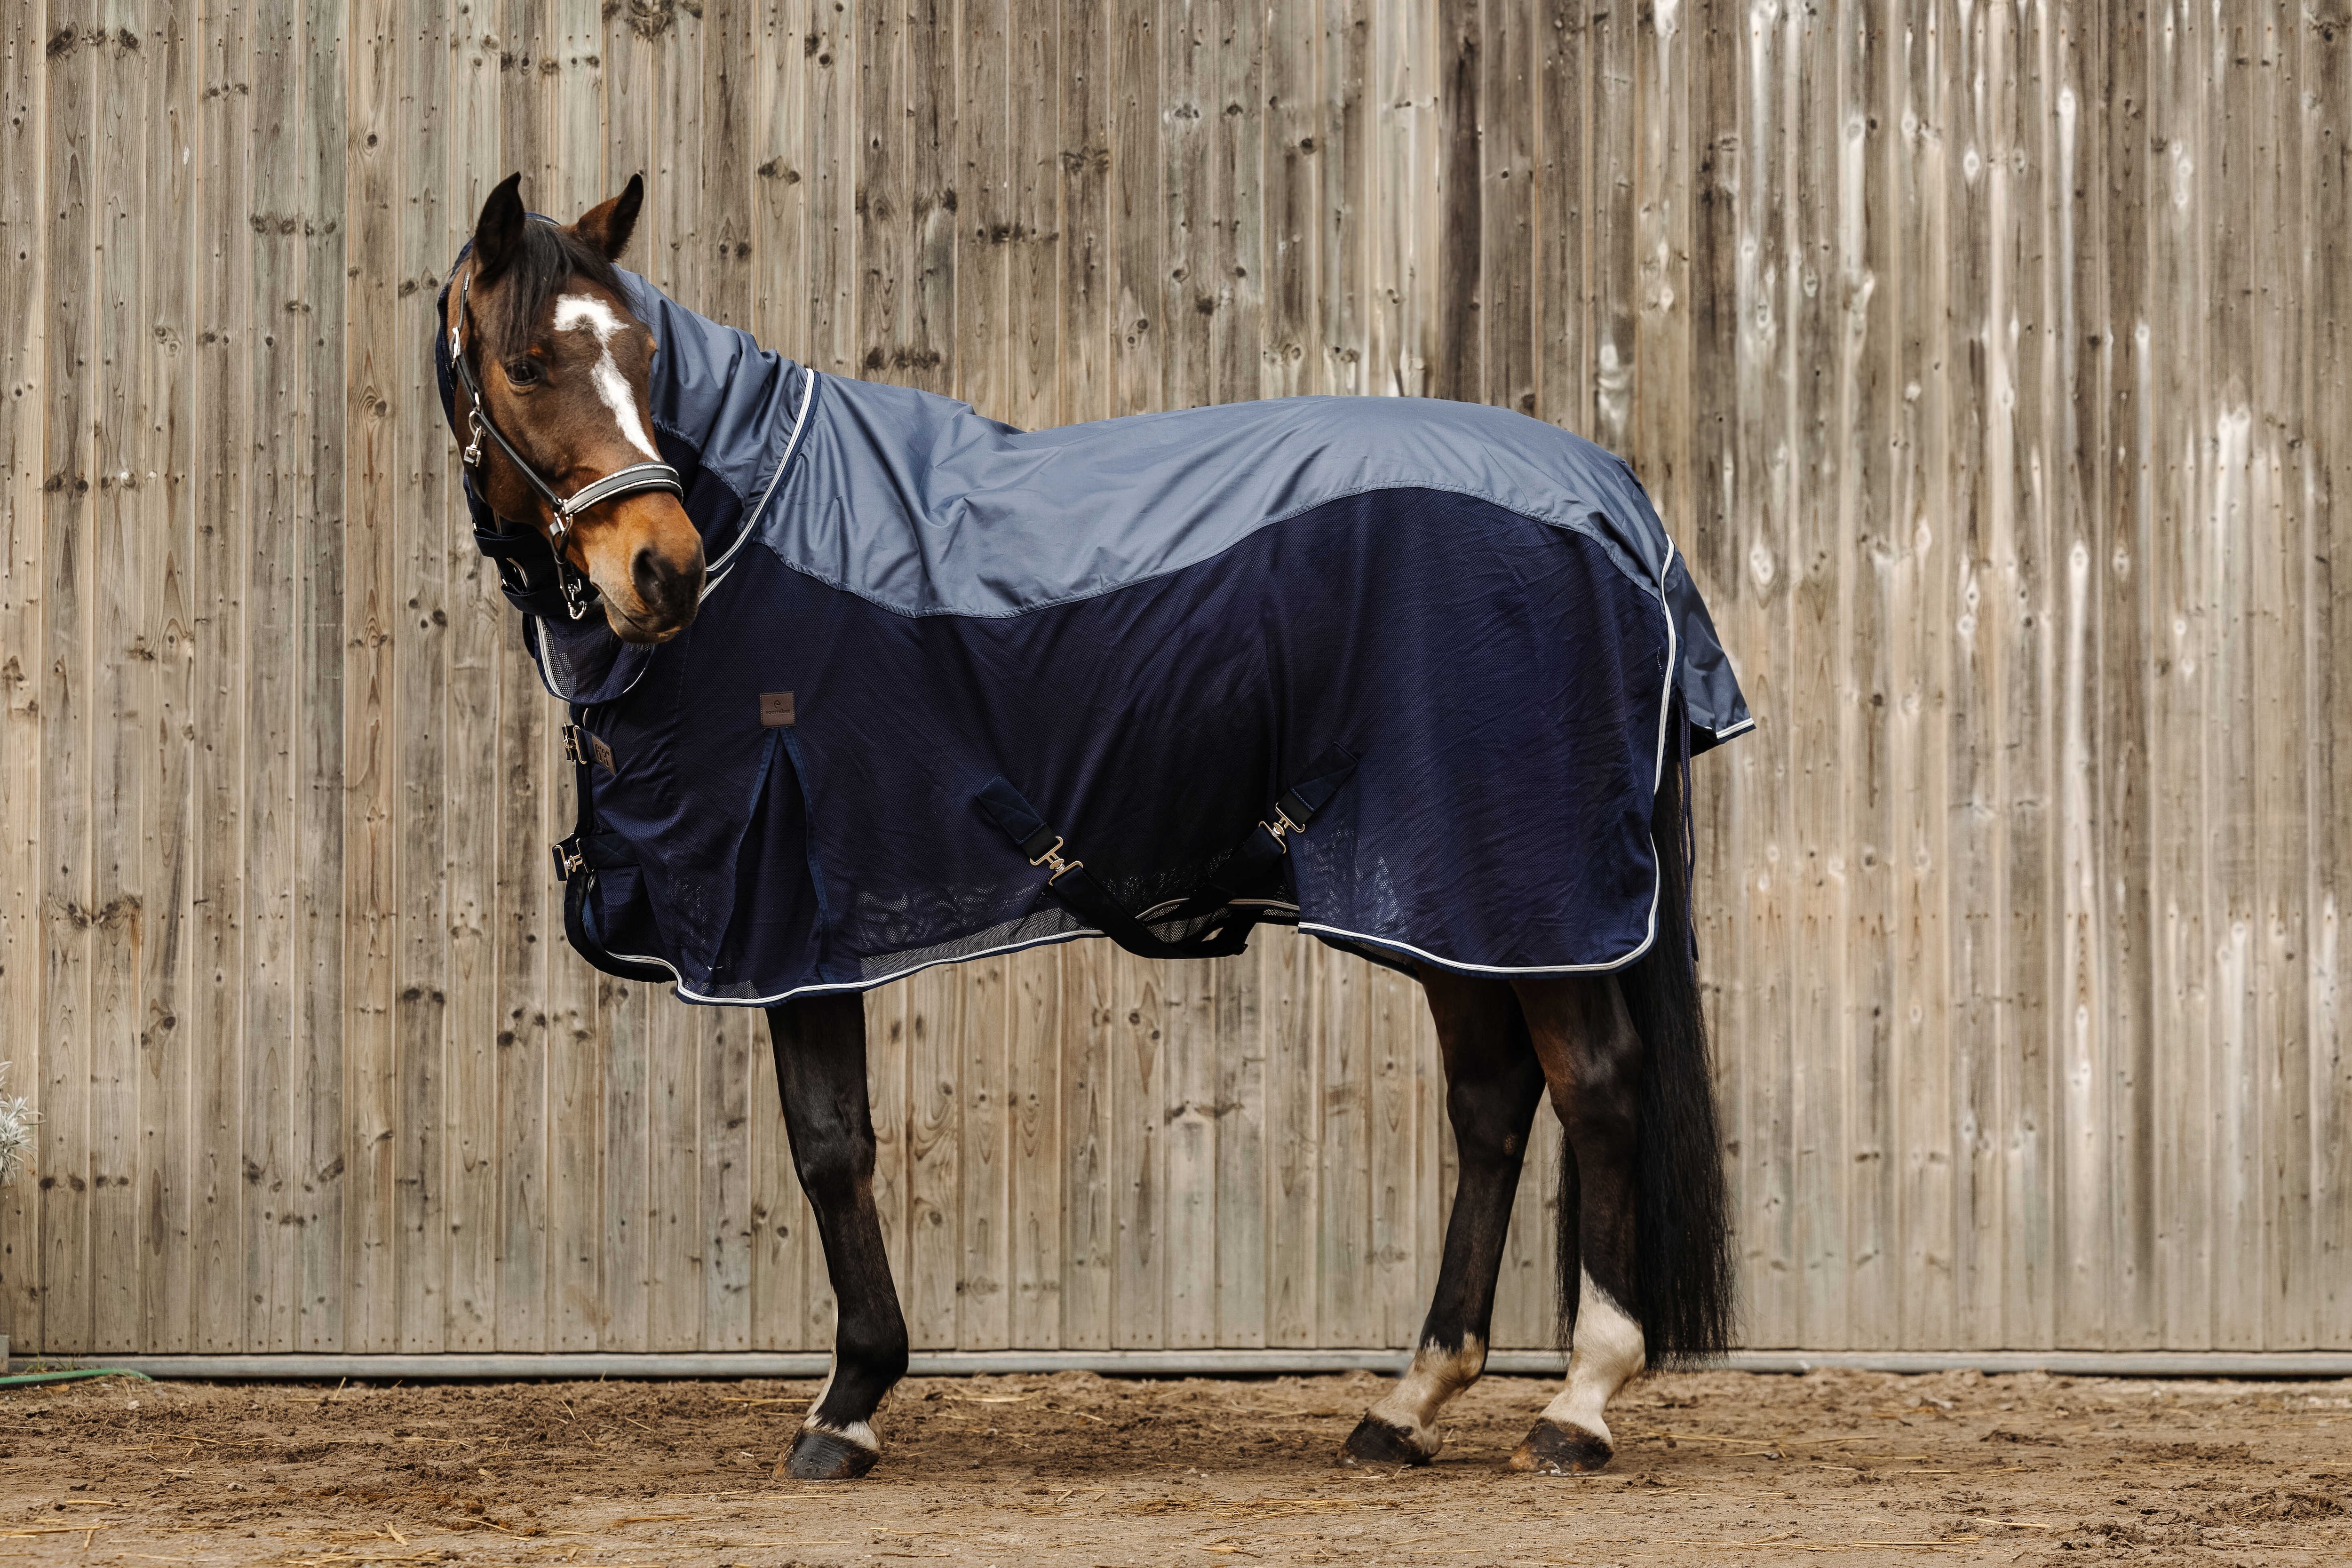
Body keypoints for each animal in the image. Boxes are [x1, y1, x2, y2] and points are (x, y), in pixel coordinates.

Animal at [437, 174, 1747, 1481]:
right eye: (527, 362)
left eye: (643, 358)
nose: (662, 569)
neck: (766, 527)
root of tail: (1617, 508)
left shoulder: (794, 918)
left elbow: (830, 1146)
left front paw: (848, 1402)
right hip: (1444, 904)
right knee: (1489, 1103)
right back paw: (1407, 1403)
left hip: (1513, 887)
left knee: (1595, 1087)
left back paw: (1578, 1404)